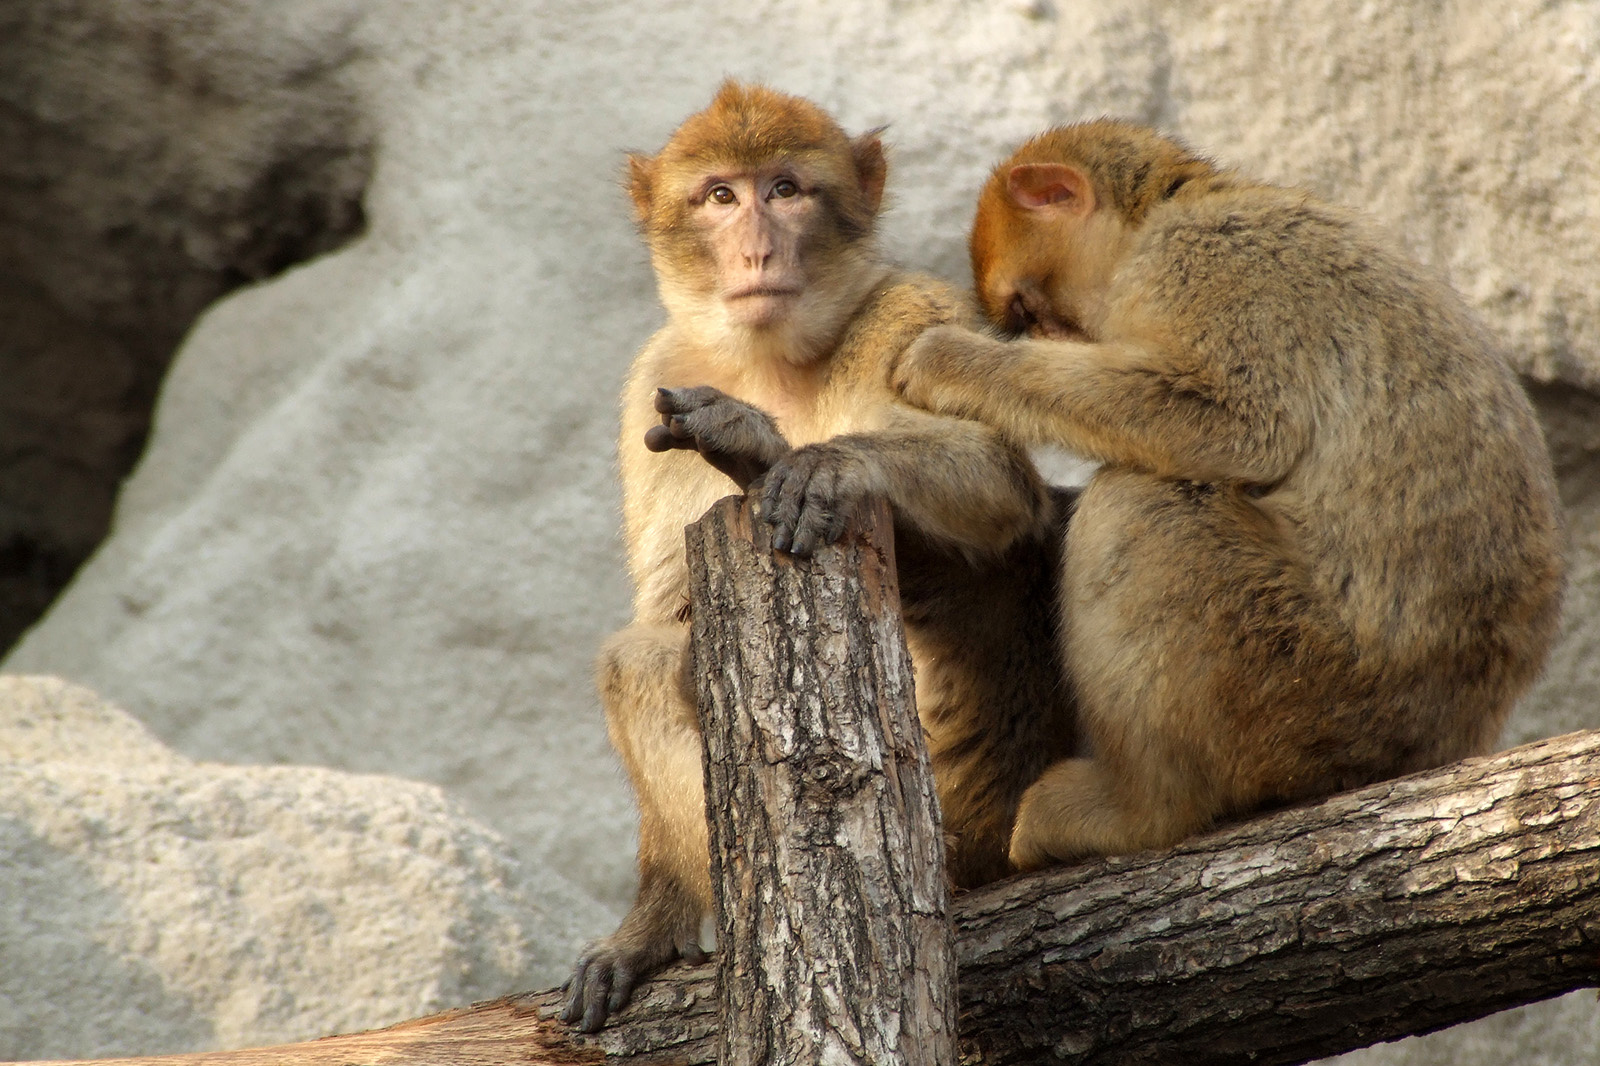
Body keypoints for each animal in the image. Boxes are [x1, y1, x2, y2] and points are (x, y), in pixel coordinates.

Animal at [563, 83, 1075, 1030]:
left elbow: (999, 484)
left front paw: (780, 453)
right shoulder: (655, 372)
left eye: (787, 189)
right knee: (640, 660)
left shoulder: (913, 308)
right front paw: (647, 926)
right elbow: (666, 612)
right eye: (720, 196)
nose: (757, 245)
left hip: (966, 812)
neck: (773, 360)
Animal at [896, 120, 1568, 870]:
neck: (1176, 205)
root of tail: (1440, 741)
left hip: (1300, 685)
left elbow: (1239, 423)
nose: (1050, 335)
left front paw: (953, 363)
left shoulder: (1198, 260)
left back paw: (1141, 811)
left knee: (1142, 504)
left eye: (1026, 309)